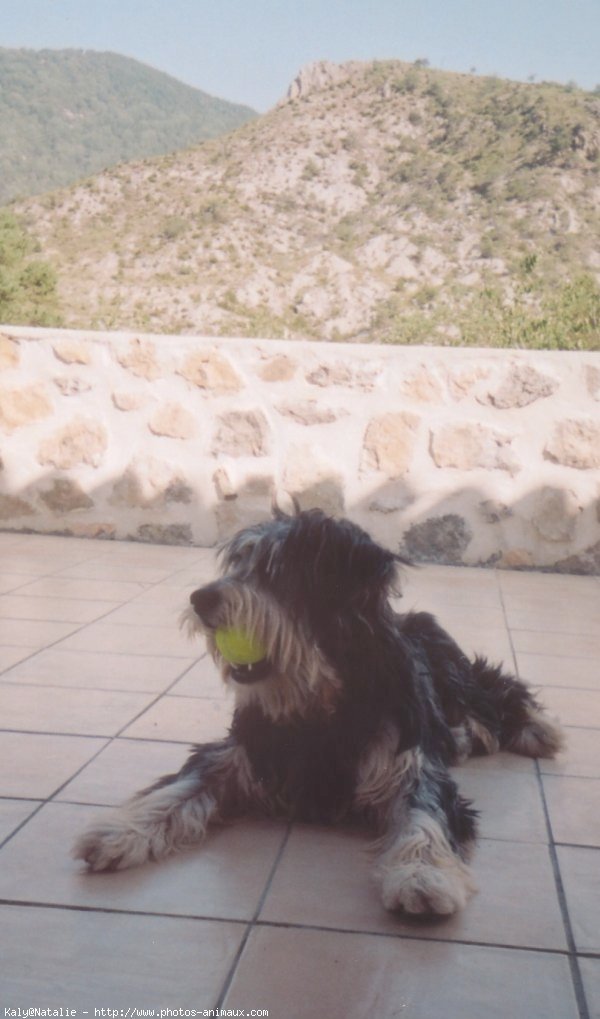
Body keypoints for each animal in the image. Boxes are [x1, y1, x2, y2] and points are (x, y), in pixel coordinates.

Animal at [73, 509, 562, 917]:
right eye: (238, 563)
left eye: (276, 570)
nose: (200, 599)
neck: (318, 702)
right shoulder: (237, 754)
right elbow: (179, 789)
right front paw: (119, 831)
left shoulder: (410, 765)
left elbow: (426, 814)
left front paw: (421, 875)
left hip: (453, 673)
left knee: (495, 690)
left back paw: (536, 730)